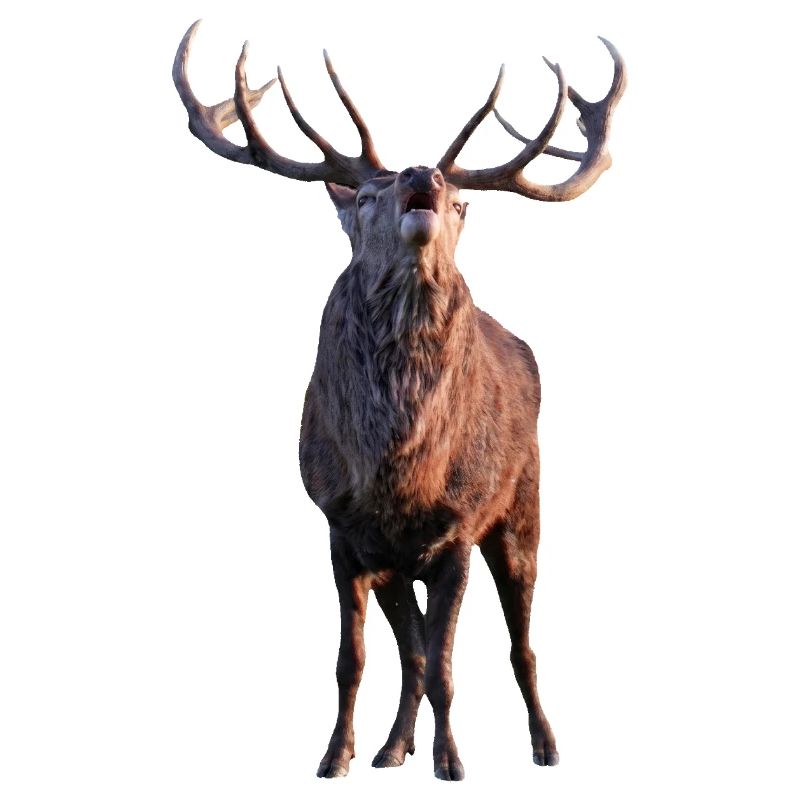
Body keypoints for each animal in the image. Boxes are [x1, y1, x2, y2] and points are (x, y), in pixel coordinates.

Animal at [173, 20, 625, 781]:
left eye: (462, 205)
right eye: (364, 197)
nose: (423, 176)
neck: (399, 470)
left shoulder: (457, 531)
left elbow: (445, 664)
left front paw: (452, 762)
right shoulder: (344, 530)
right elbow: (354, 661)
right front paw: (336, 756)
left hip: (523, 511)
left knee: (521, 643)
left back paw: (544, 744)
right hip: (397, 564)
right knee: (409, 649)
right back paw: (392, 747)